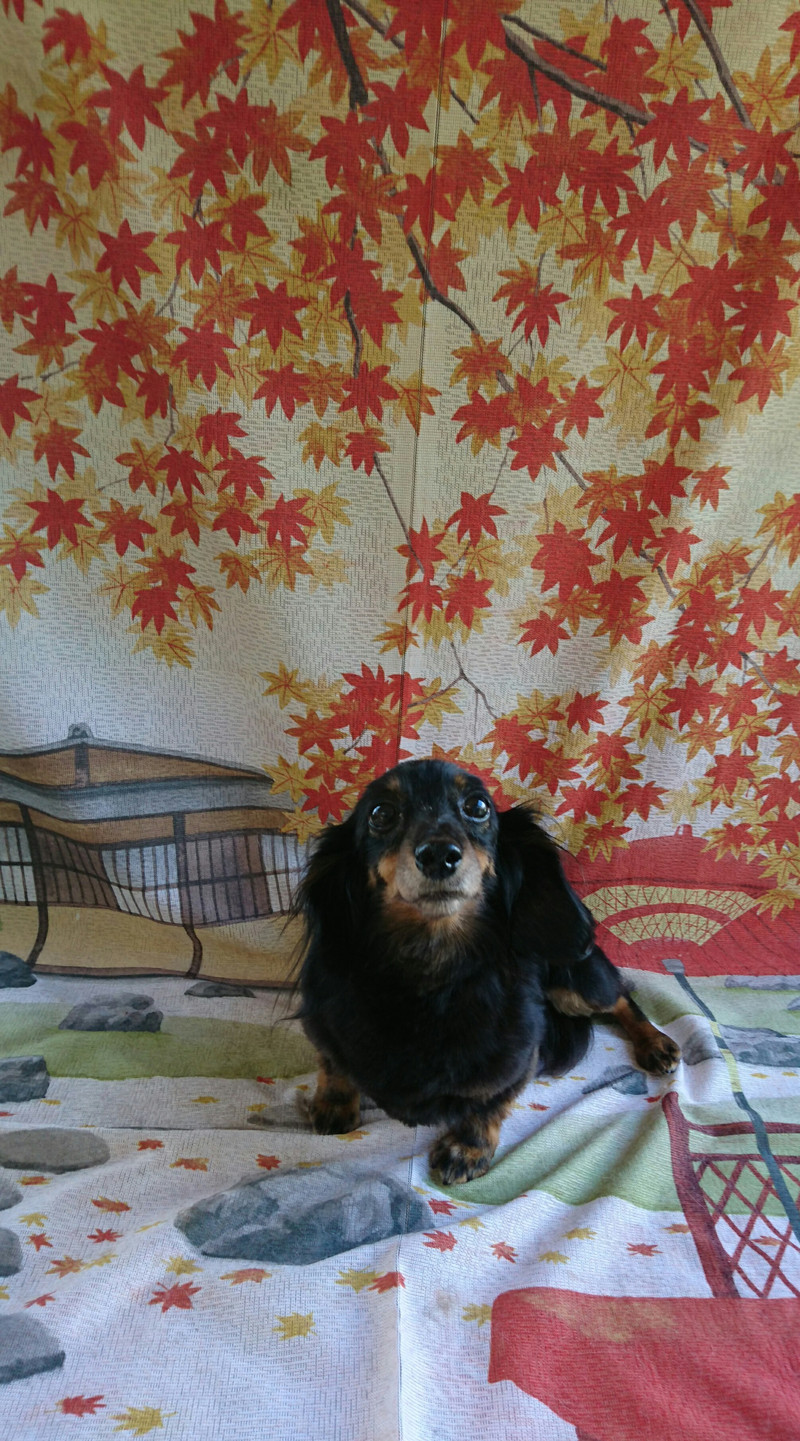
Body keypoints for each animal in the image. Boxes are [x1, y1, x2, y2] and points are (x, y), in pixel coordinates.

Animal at [295, 758, 680, 1186]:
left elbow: (489, 1098)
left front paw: (467, 1146)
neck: (432, 974)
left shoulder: (518, 1054)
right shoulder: (322, 1020)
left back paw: (655, 1043)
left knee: (621, 996)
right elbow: (332, 1061)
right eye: (381, 813)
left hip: (576, 983)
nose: (439, 854)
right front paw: (333, 1102)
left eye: (478, 807)